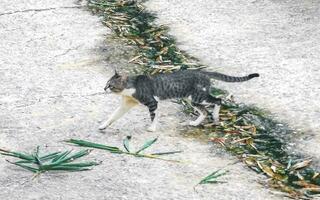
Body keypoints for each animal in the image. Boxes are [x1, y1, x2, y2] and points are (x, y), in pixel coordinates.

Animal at [99, 69, 258, 132]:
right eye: (106, 84)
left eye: (110, 85)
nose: (104, 88)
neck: (132, 87)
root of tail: (202, 71)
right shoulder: (126, 104)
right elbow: (113, 116)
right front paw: (104, 125)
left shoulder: (152, 102)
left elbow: (153, 116)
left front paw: (152, 128)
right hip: (193, 100)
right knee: (204, 111)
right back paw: (195, 123)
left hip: (198, 97)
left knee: (218, 100)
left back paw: (216, 117)